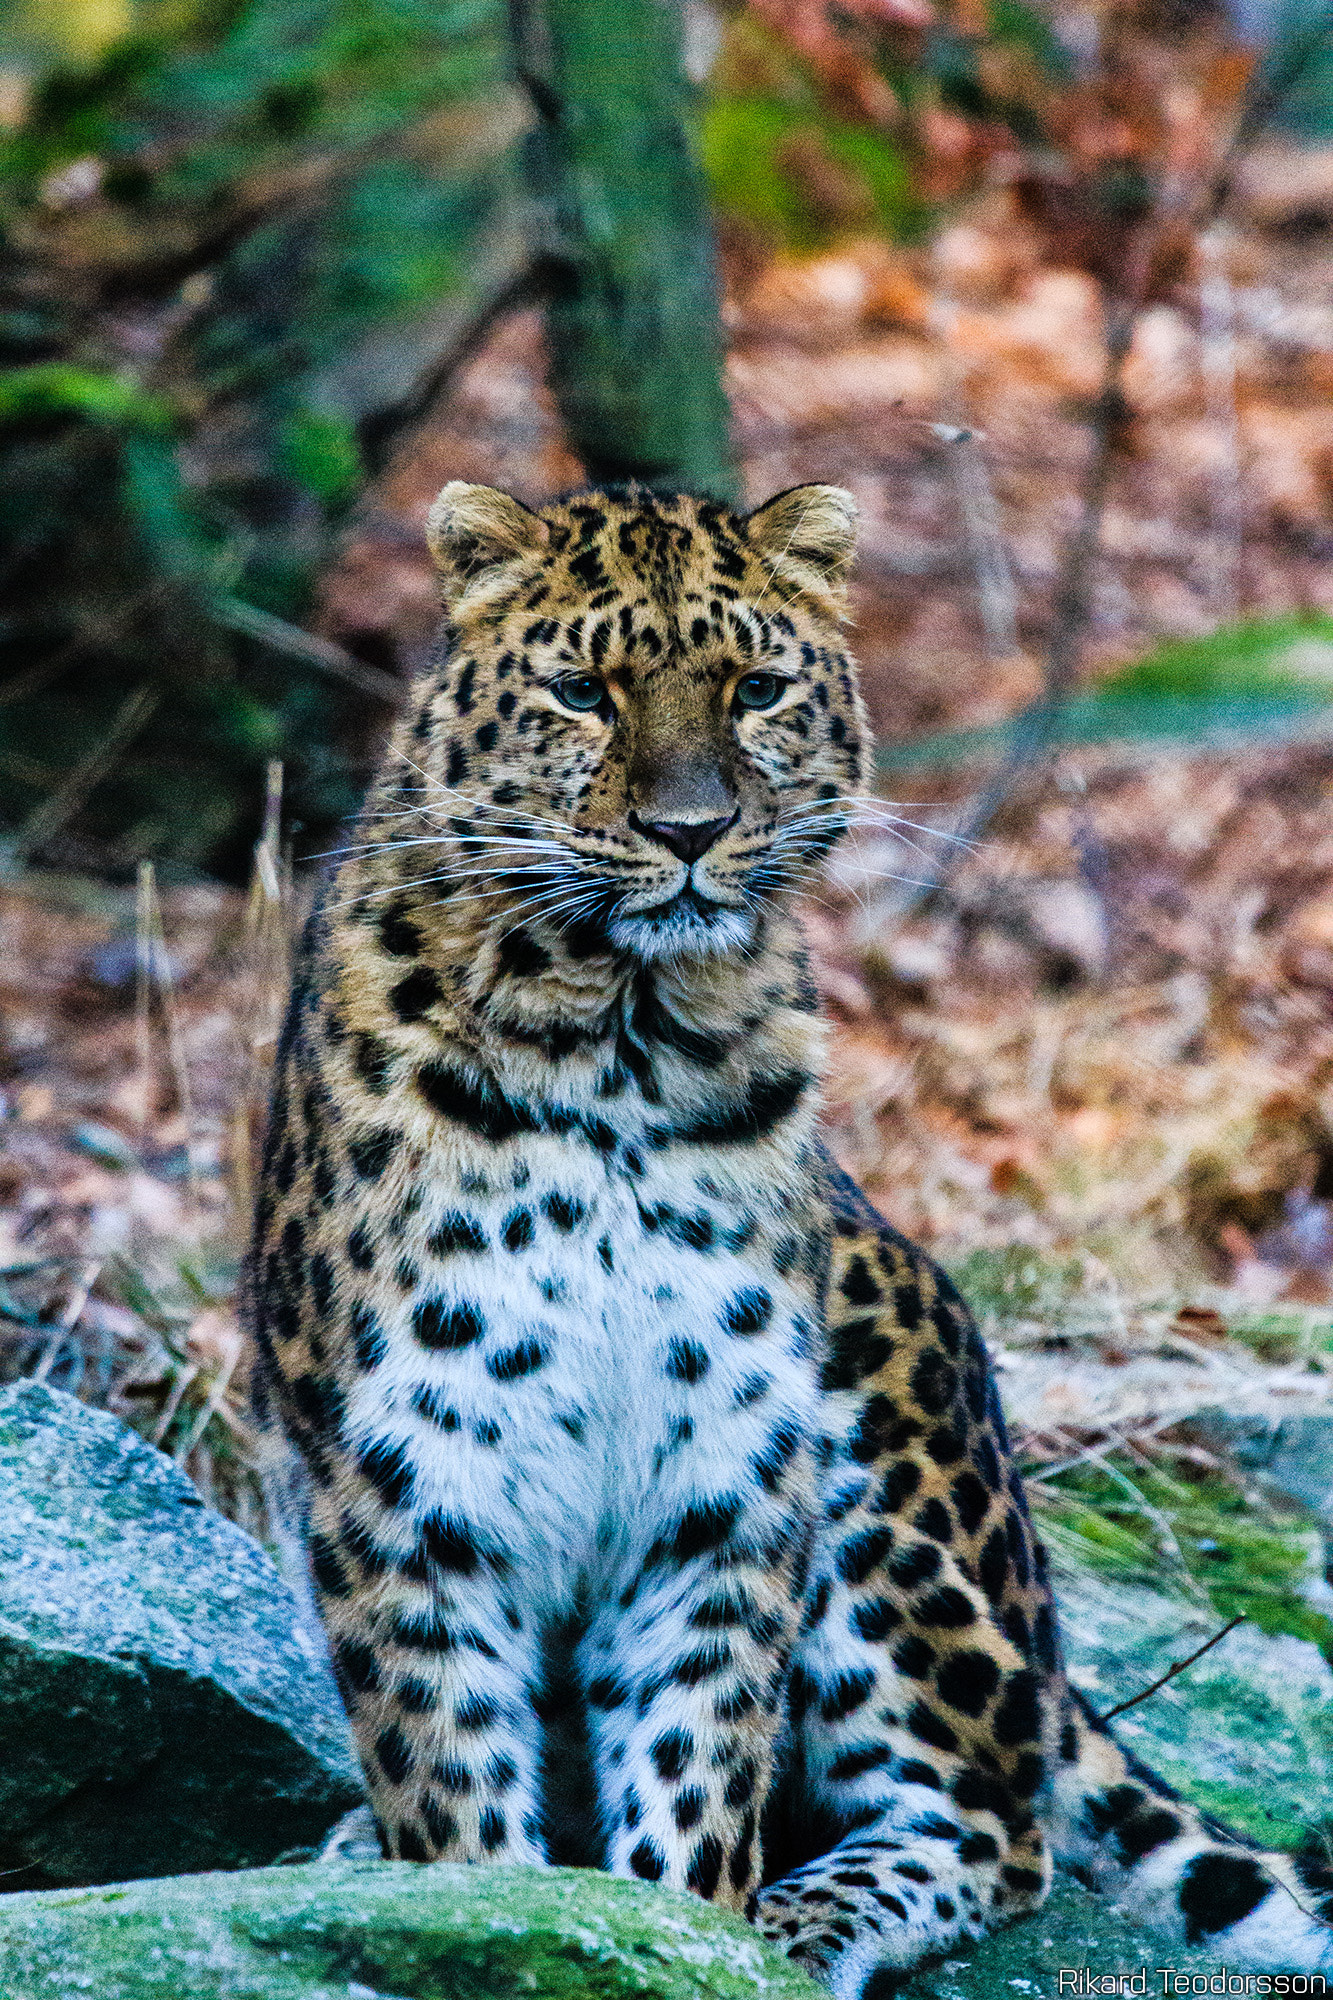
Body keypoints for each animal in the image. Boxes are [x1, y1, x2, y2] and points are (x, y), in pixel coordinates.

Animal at [248, 477, 1332, 1992]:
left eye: (755, 688)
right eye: (582, 692)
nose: (692, 831)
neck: (623, 1037)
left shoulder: (725, 1483)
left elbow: (694, 1776)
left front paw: (680, 1942)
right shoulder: (411, 1478)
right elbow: (457, 1791)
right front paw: (496, 1923)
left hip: (881, 1473)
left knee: (994, 1826)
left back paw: (800, 1921)